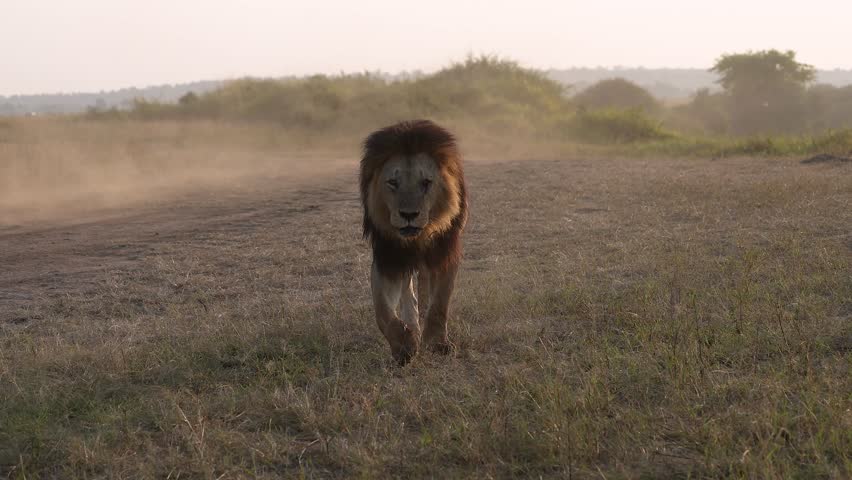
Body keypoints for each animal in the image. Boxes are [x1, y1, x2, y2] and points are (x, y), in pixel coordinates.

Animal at [360, 120, 468, 365]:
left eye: (426, 182)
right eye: (393, 182)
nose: (409, 214)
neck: (418, 238)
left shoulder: (444, 254)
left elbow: (439, 303)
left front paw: (437, 344)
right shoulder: (388, 258)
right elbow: (382, 311)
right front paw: (404, 346)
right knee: (408, 292)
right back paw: (413, 326)